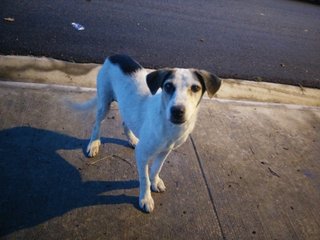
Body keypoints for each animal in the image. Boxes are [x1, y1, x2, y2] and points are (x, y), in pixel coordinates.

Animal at [76, 54, 220, 212]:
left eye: (195, 88)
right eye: (168, 86)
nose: (177, 111)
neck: (168, 125)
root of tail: (114, 55)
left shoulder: (166, 150)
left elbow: (157, 168)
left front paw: (155, 181)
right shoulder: (142, 154)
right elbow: (144, 179)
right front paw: (145, 198)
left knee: (125, 123)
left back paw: (132, 139)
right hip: (104, 103)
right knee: (97, 124)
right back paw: (94, 144)